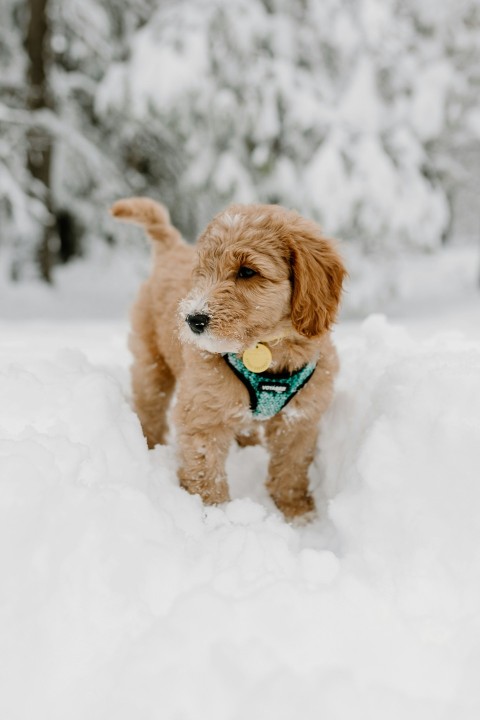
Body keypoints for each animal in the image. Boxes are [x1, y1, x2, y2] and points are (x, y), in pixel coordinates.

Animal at [112, 198, 344, 516]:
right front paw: (214, 514)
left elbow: (291, 468)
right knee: (151, 408)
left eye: (247, 271)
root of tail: (172, 248)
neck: (265, 347)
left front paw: (296, 511)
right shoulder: (203, 411)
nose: (193, 320)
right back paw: (149, 445)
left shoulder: (299, 418)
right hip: (151, 362)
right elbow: (205, 469)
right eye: (203, 271)